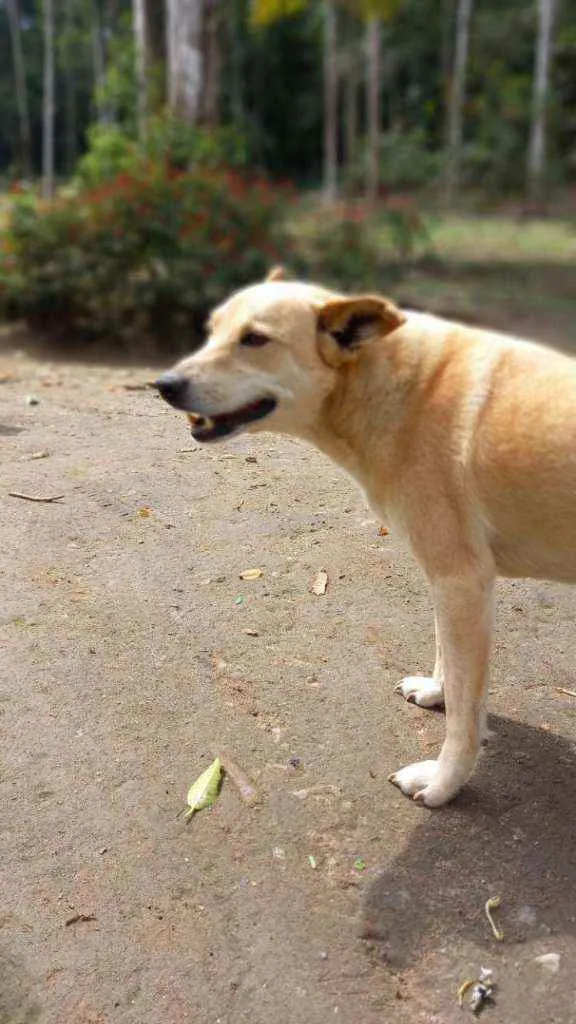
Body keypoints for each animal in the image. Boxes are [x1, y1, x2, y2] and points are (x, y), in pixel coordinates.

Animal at [152, 270, 573, 806]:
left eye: (254, 339)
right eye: (211, 332)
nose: (163, 384)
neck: (399, 389)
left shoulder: (461, 581)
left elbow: (464, 715)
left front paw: (442, 783)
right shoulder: (451, 585)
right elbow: (449, 663)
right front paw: (436, 691)